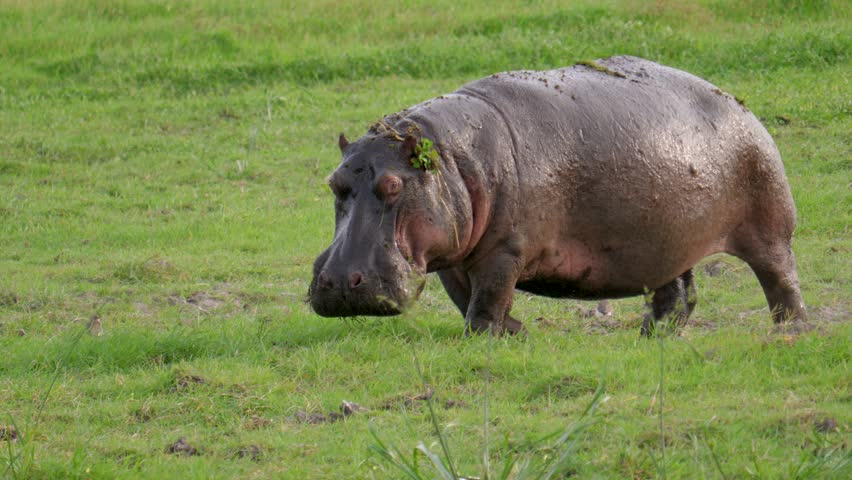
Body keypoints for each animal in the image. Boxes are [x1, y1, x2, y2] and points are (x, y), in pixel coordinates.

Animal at [308, 55, 804, 334]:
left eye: (393, 186)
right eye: (334, 183)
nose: (339, 284)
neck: (449, 157)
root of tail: (738, 104)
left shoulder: (506, 249)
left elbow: (488, 296)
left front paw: (486, 335)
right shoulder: (453, 254)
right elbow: (467, 295)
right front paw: (515, 330)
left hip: (769, 225)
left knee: (781, 279)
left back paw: (789, 330)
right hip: (667, 238)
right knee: (677, 291)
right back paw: (650, 333)